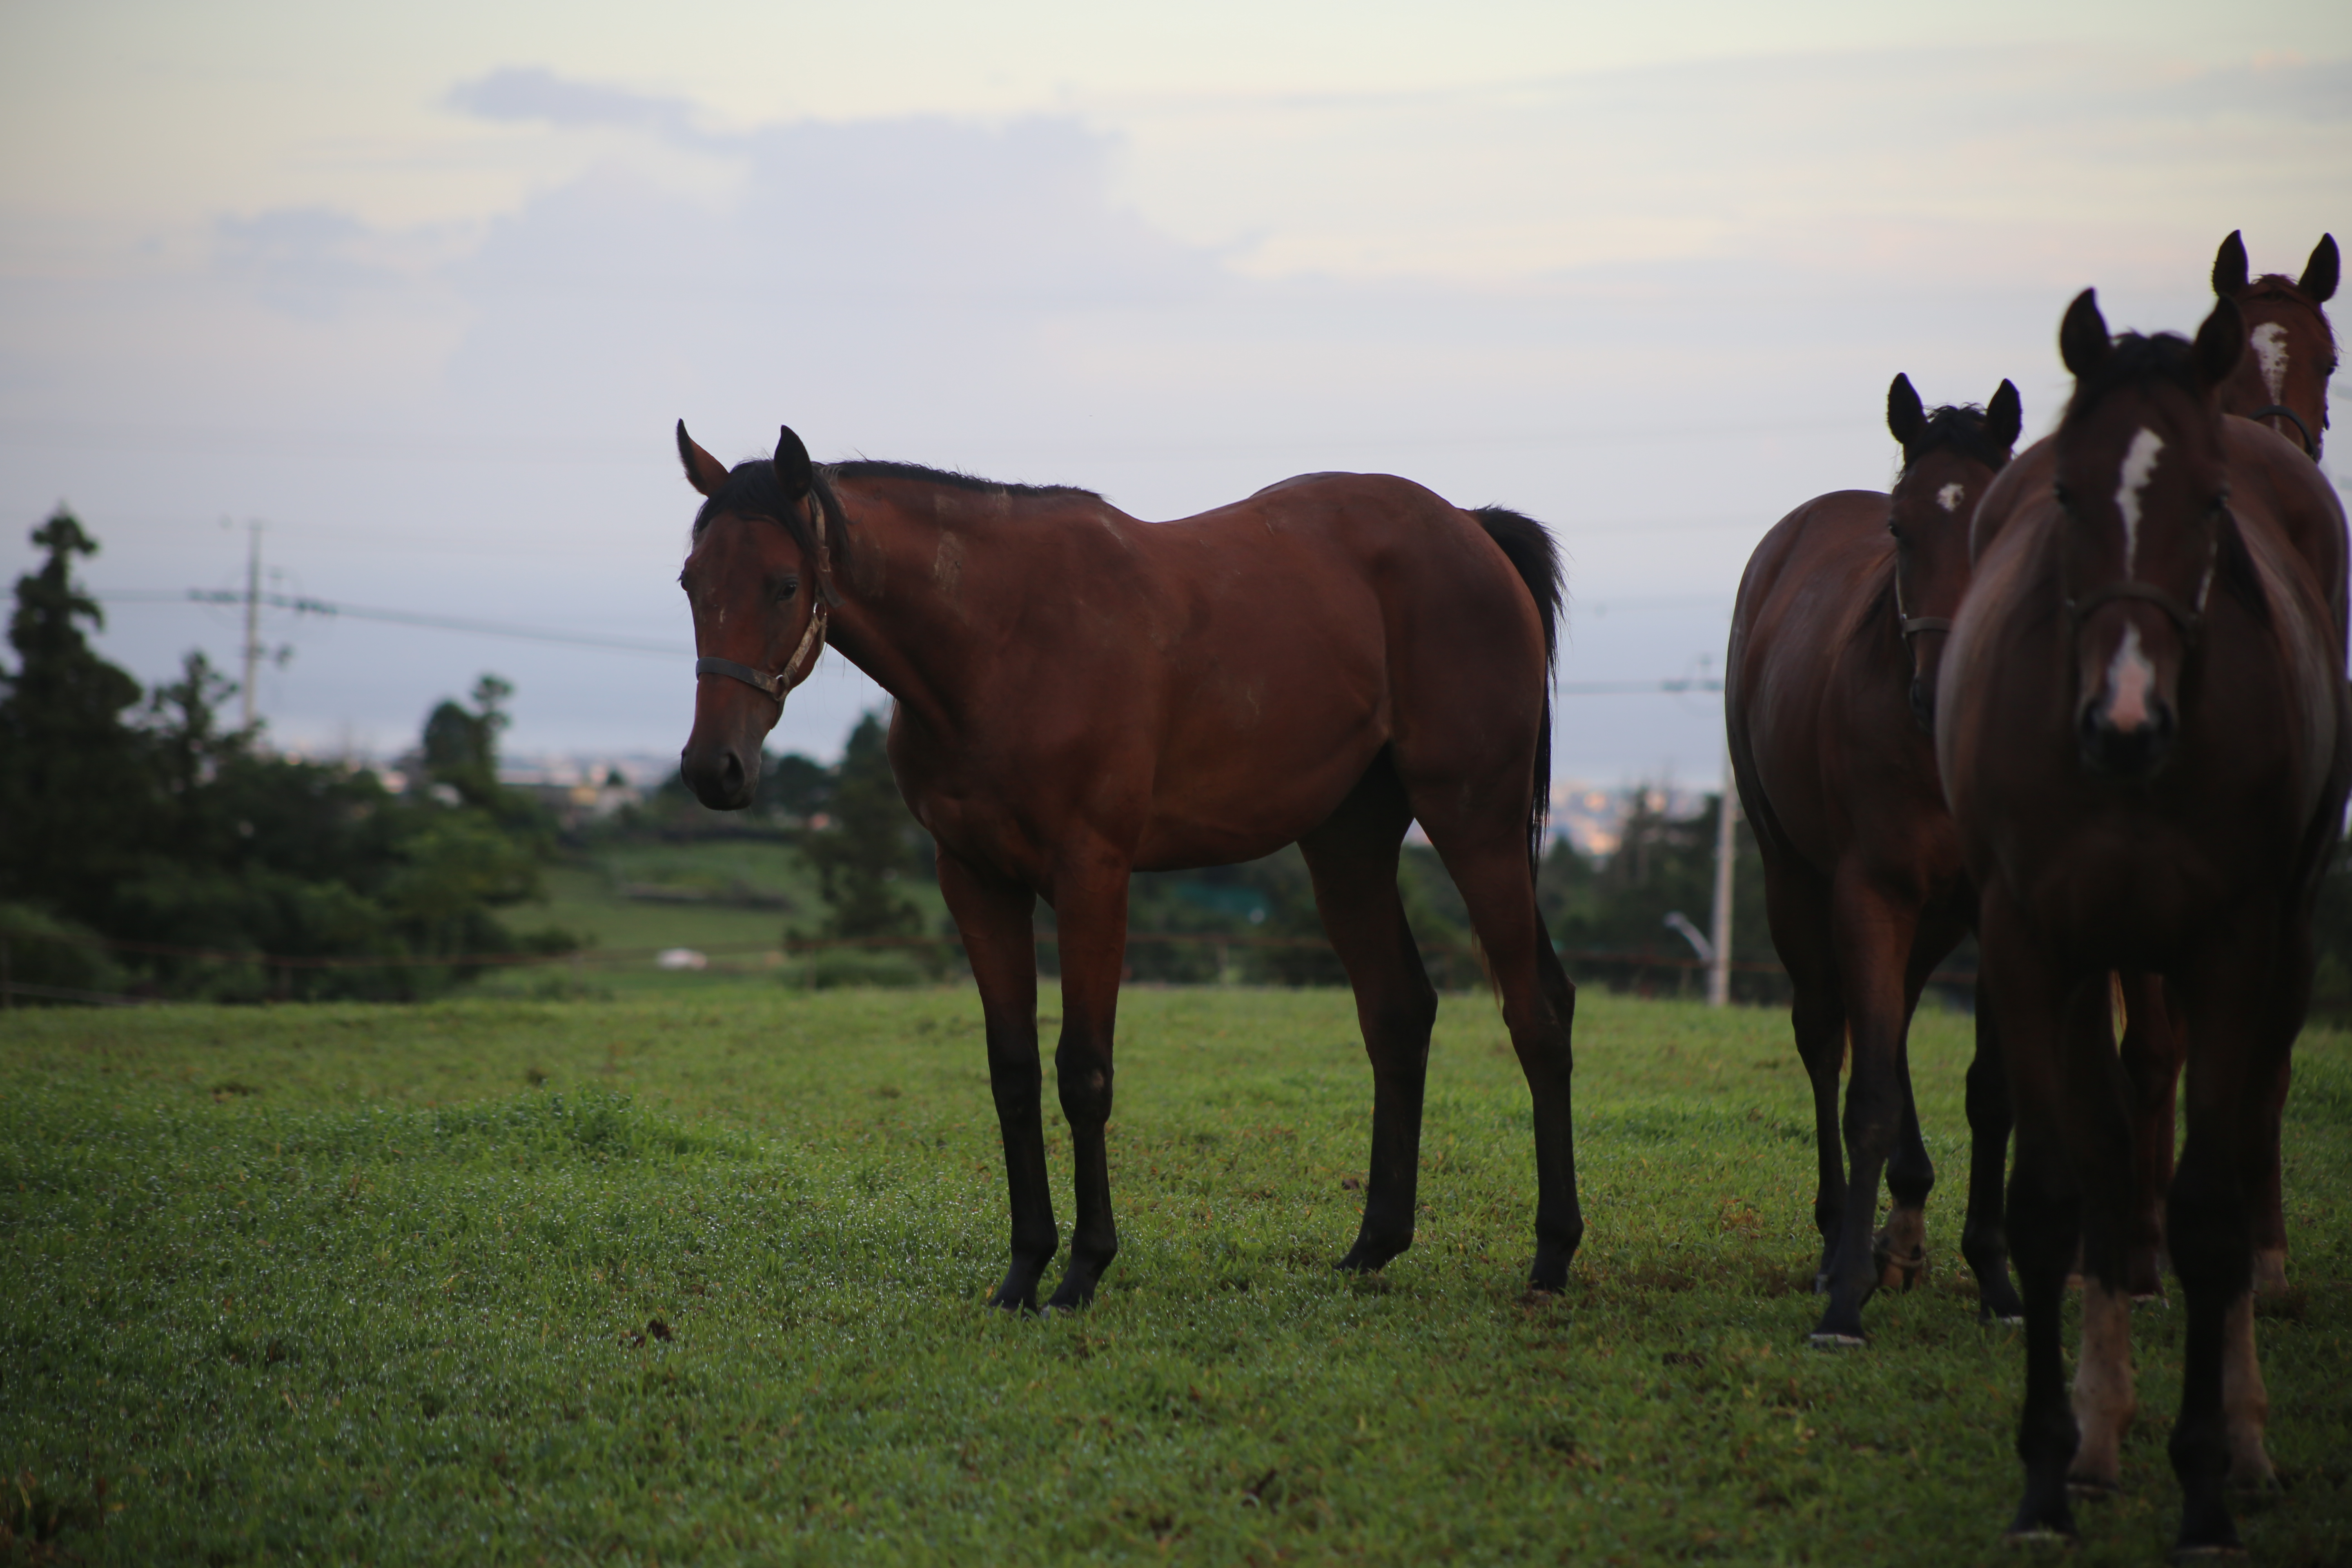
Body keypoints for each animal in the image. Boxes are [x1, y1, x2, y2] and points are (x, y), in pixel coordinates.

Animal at [673, 425, 1580, 1316]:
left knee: (1535, 1011)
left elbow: (1084, 1071)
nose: (714, 769)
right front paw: (1023, 1271)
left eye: (785, 584)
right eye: (690, 582)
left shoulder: (1093, 874)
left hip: (1475, 821)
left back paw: (1552, 1254)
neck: (1002, 640)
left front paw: (1083, 1270)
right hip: (1346, 844)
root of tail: (1469, 528)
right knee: (1397, 1013)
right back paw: (1373, 1246)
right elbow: (1013, 1074)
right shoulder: (974, 881)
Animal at [1722, 374, 2032, 1345]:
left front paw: (1998, 1280)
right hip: (1798, 881)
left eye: (2003, 524)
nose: (1938, 692)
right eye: (1899, 529)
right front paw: (1846, 1299)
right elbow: (1867, 1098)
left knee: (1884, 1031)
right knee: (1829, 1040)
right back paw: (1838, 1240)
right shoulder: (1870, 890)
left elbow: (1990, 1091)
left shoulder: (1993, 906)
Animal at [1929, 288, 2352, 1551]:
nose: (2123, 717)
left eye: (2208, 503)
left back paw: (2243, 1425)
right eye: (2068, 496)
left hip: (2281, 948)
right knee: (2113, 1154)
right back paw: (2102, 1423)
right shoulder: (2033, 945)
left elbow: (2212, 1203)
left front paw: (2209, 1478)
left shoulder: (2232, 947)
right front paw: (2052, 1465)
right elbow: (2058, 1191)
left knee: (2246, 1138)